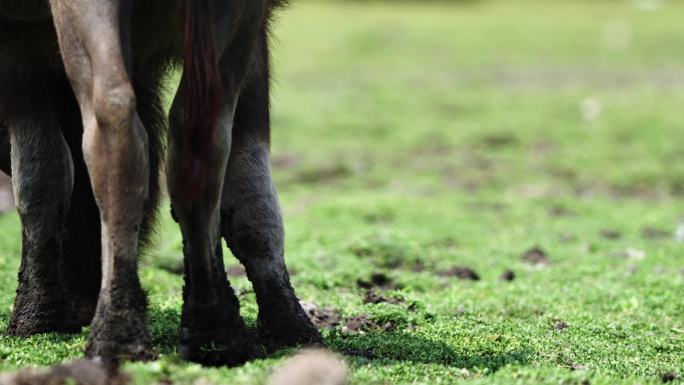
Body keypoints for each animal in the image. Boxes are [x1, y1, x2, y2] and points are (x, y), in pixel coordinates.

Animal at [0, 0, 320, 364]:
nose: (83, 298)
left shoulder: (14, 41)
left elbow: (39, 175)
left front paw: (37, 316)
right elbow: (250, 190)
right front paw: (290, 326)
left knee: (113, 122)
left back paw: (116, 335)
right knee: (195, 131)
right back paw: (213, 330)